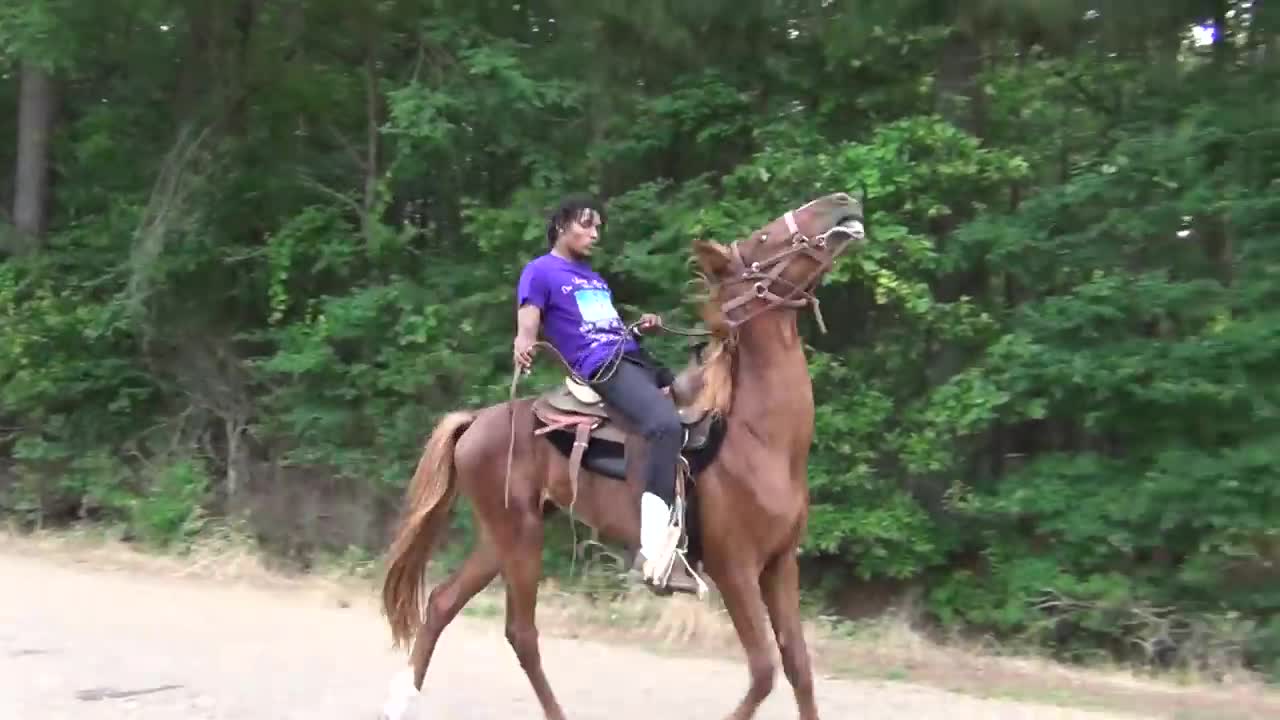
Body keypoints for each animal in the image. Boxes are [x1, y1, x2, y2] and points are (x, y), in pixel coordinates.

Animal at [373, 192, 865, 717]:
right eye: (765, 237)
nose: (842, 201)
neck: (757, 438)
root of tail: (476, 422)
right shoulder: (734, 568)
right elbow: (763, 671)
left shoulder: (780, 565)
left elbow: (798, 666)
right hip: (520, 536)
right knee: (520, 631)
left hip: (500, 535)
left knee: (443, 603)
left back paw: (401, 700)